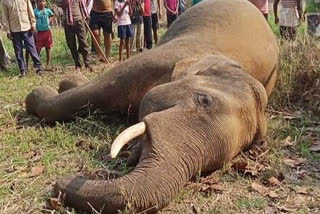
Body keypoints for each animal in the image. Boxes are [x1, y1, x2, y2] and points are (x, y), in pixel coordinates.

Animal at [26, 0, 278, 212]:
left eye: (211, 168)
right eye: (203, 100)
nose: (62, 182)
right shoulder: (161, 57)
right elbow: (94, 90)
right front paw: (36, 96)